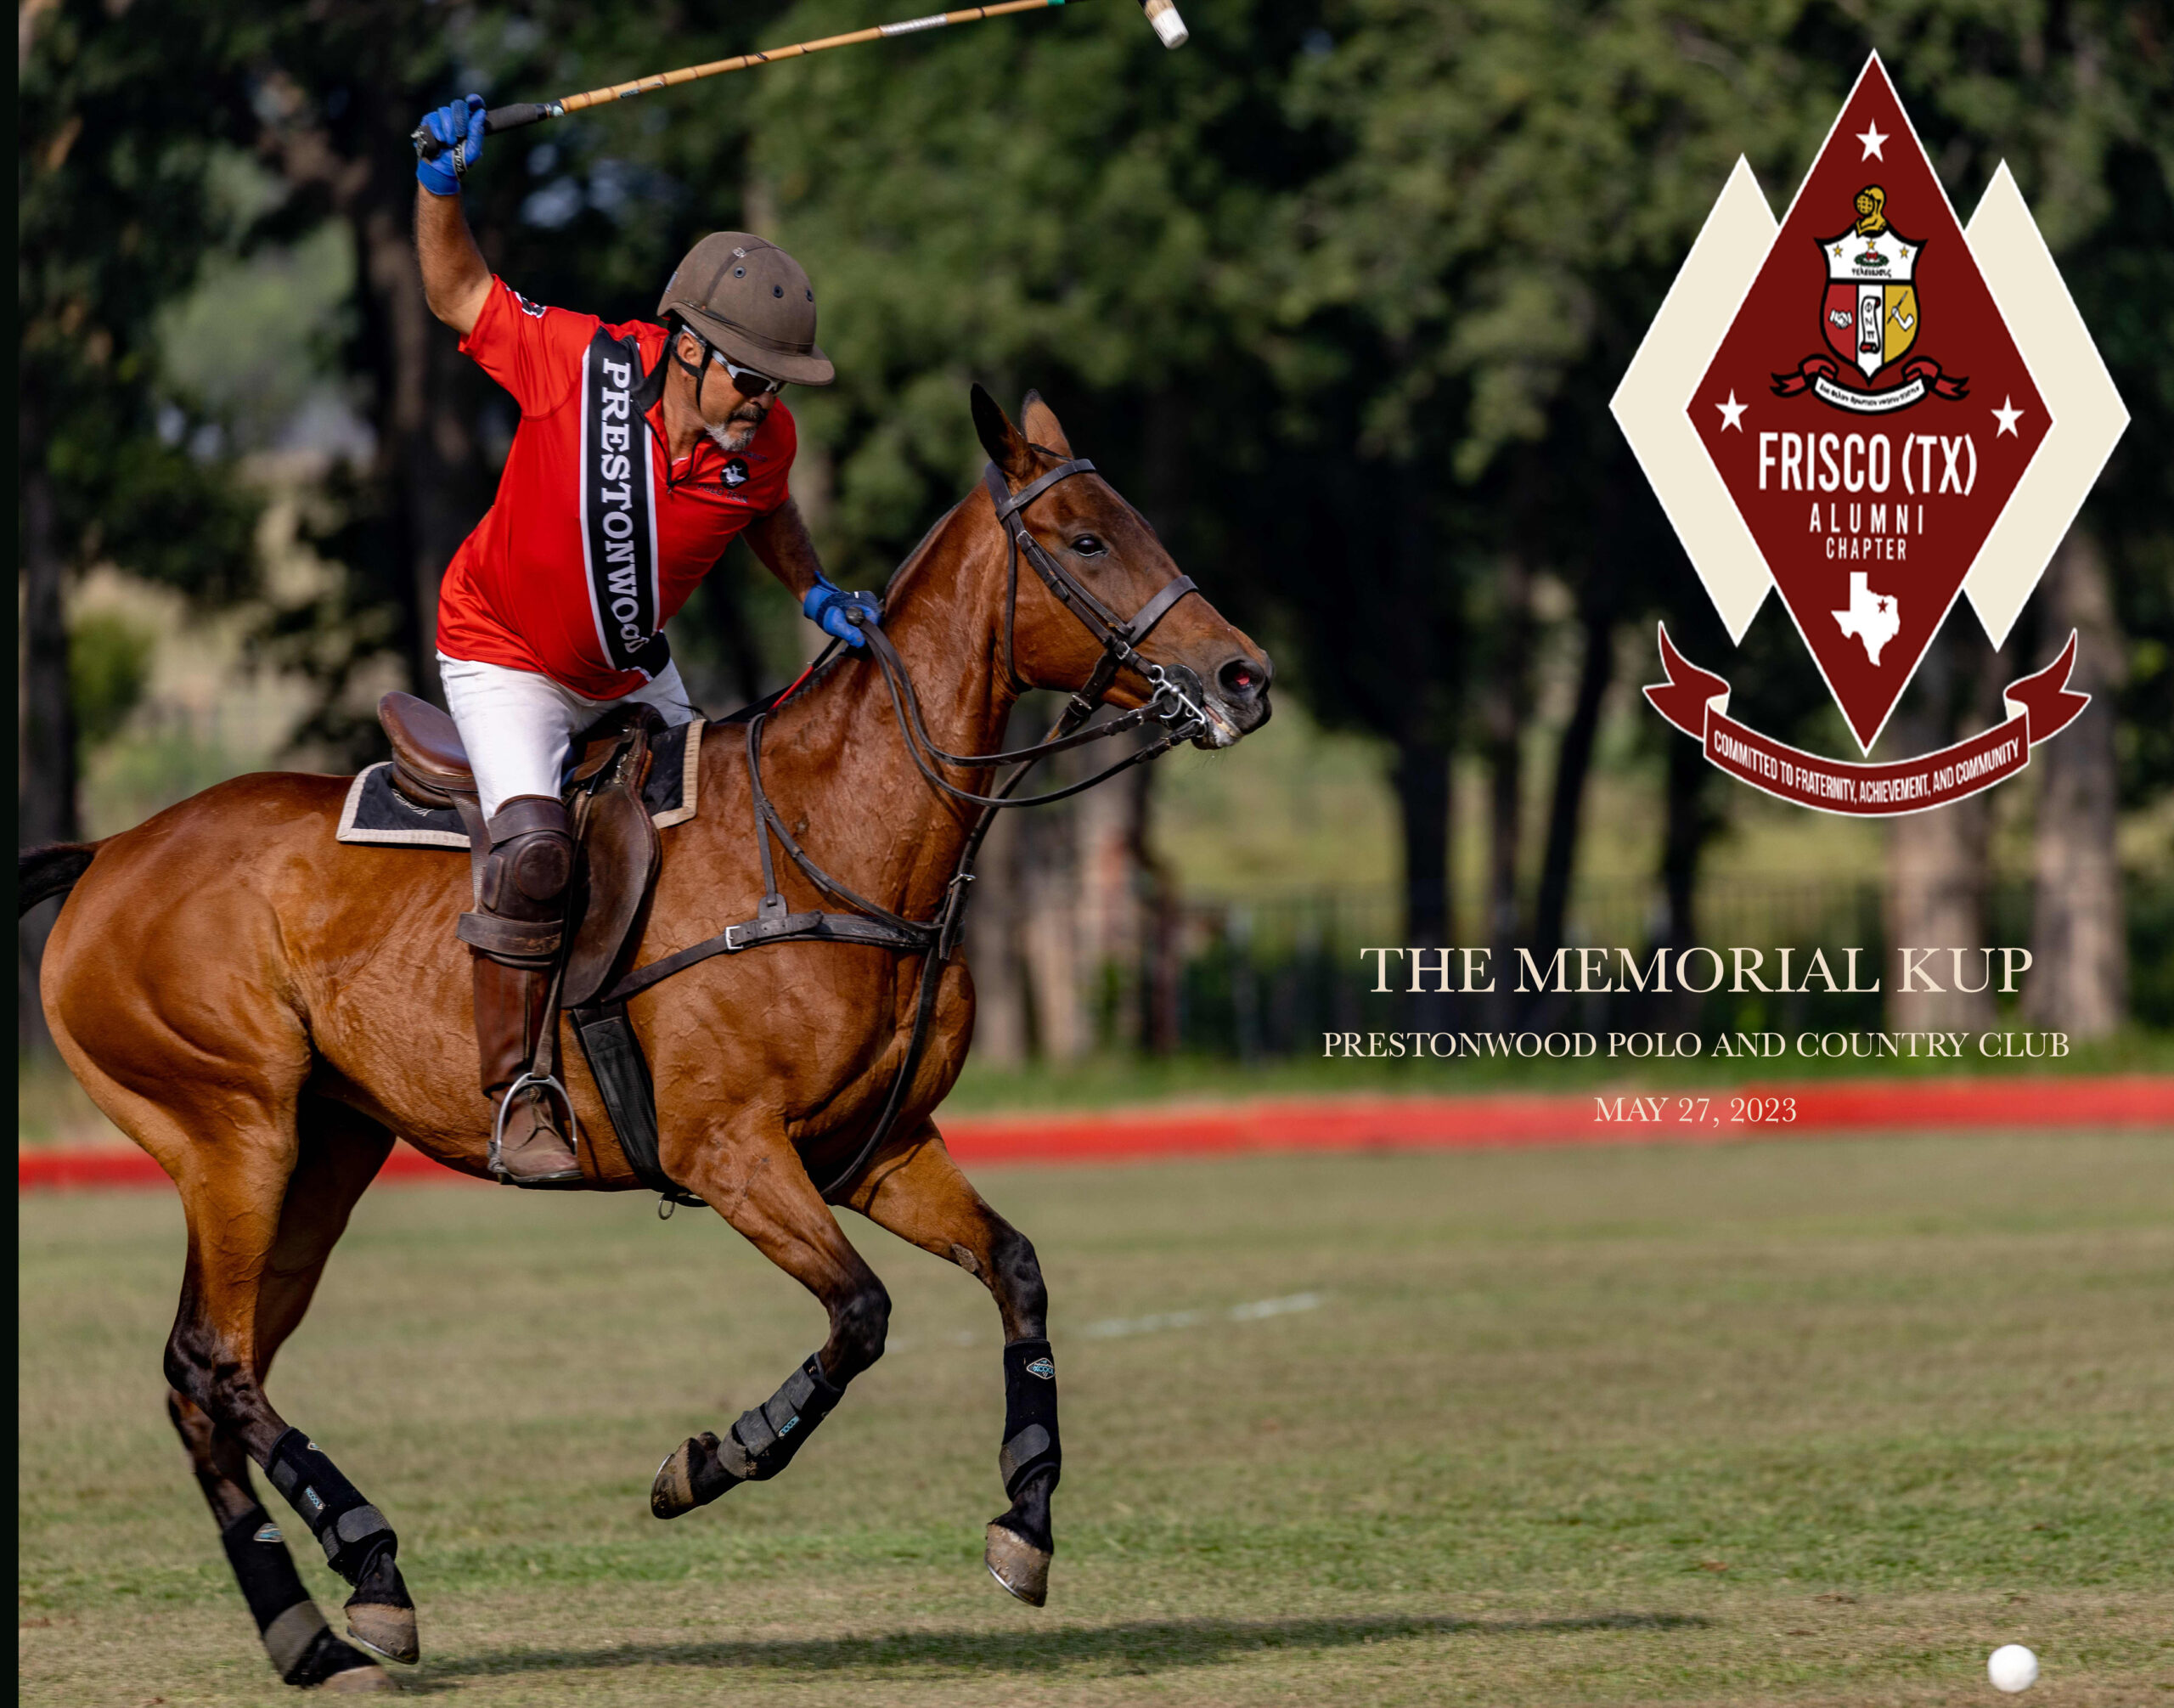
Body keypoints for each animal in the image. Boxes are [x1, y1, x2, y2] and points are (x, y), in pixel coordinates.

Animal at [20, 388, 1270, 1686]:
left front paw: (1024, 1520)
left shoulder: (876, 1149)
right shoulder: (730, 1152)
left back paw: (309, 1624)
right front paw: (710, 1459)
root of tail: (108, 852)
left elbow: (1015, 1268)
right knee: (212, 1360)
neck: (834, 835)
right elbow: (861, 1312)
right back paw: (367, 1555)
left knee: (204, 1372)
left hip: (323, 1154)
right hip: (234, 1130)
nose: (1245, 674)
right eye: (1087, 540)